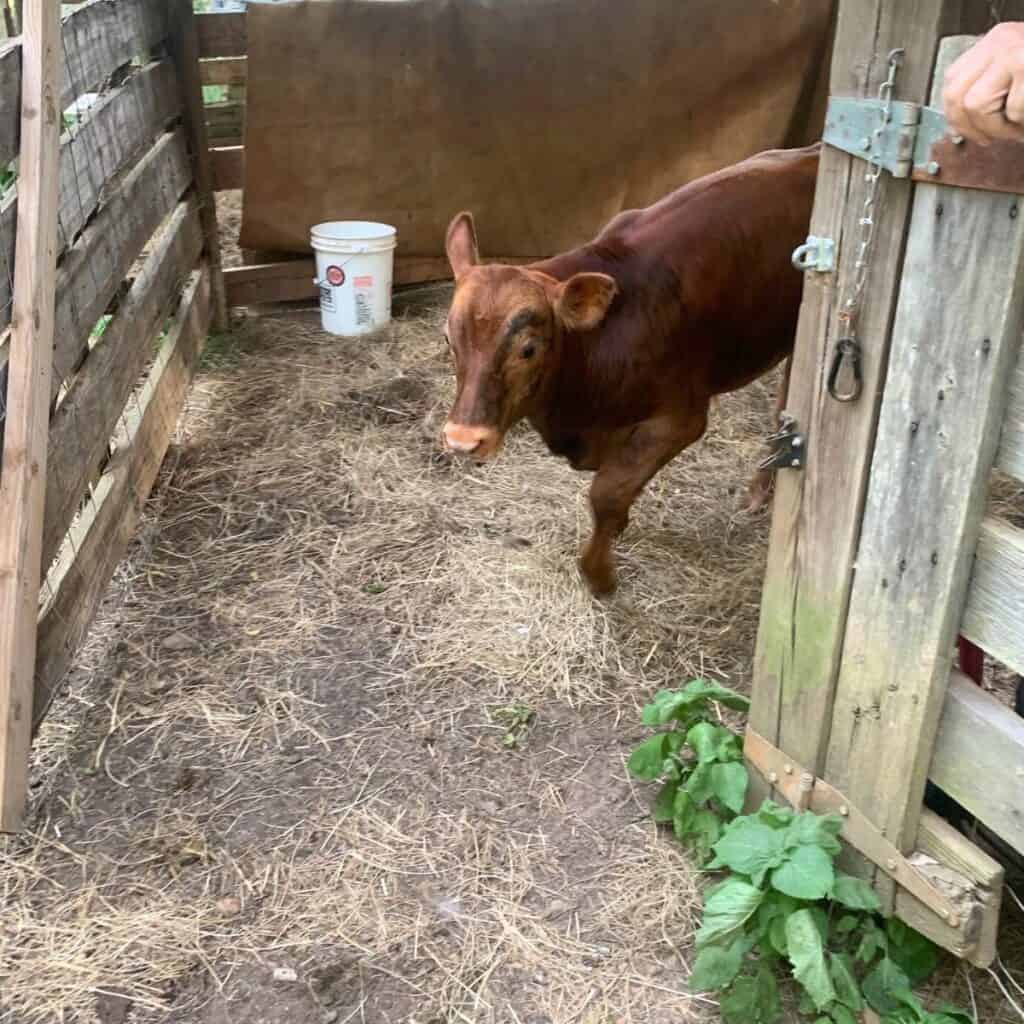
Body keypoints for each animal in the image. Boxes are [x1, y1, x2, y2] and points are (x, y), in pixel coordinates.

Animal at [444, 142, 819, 593]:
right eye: (448, 340)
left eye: (528, 349)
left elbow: (606, 492)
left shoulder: (681, 418)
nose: (463, 439)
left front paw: (600, 576)